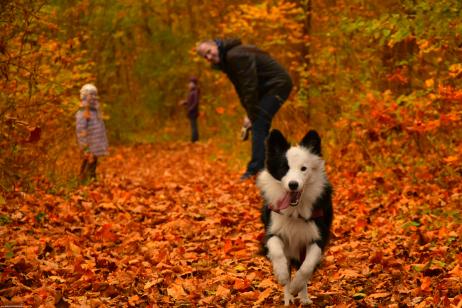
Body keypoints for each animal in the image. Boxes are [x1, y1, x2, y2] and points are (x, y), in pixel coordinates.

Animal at [256, 128, 332, 306]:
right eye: (284, 168)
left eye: (303, 168)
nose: (293, 185)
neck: (295, 211)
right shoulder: (272, 232)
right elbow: (278, 253)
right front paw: (282, 275)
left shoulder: (318, 236)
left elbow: (306, 266)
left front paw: (297, 286)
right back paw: (288, 298)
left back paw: (303, 297)